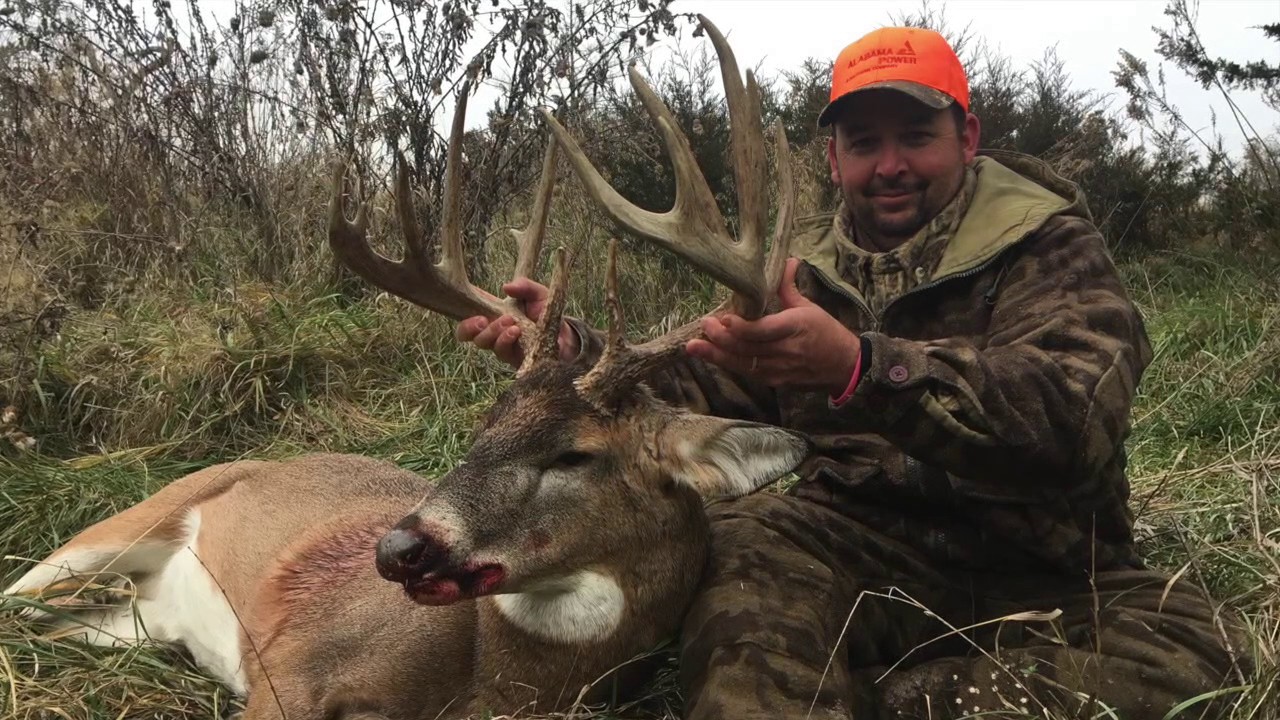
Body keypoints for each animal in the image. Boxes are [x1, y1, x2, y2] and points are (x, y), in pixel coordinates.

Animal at [3, 15, 803, 720]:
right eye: (483, 427)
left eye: (575, 455)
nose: (395, 548)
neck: (486, 680)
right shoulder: (291, 668)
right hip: (127, 522)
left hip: (134, 621)